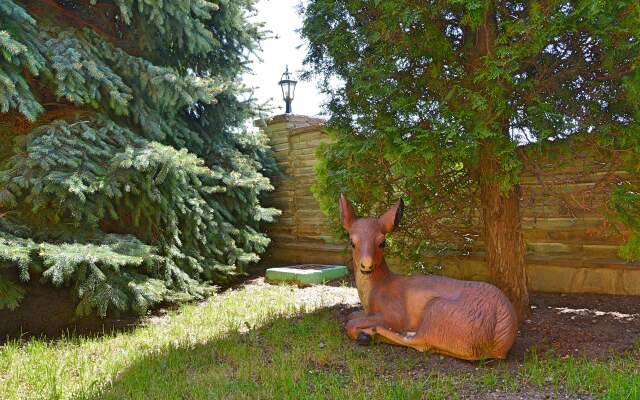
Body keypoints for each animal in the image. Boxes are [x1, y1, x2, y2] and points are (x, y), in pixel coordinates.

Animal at [340, 195, 520, 362]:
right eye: (352, 242)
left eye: (382, 242)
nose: (366, 266)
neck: (379, 288)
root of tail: (502, 336)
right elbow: (350, 316)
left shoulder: (395, 315)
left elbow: (350, 324)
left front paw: (365, 332)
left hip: (437, 309)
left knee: (420, 342)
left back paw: (370, 334)